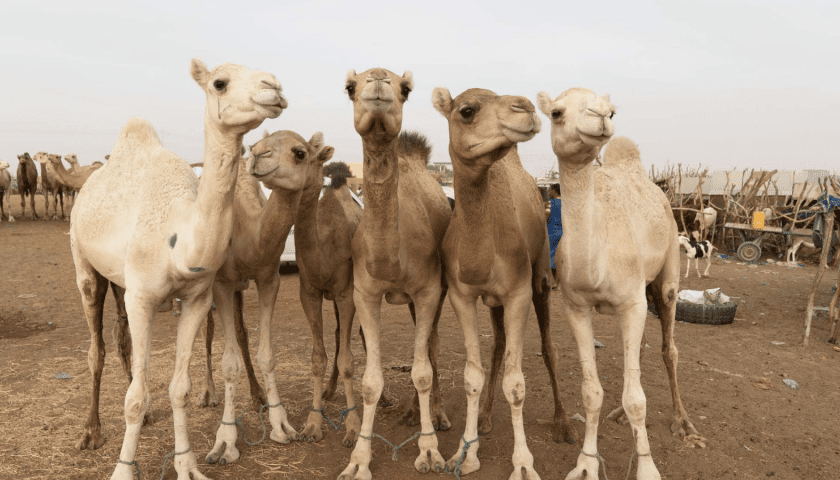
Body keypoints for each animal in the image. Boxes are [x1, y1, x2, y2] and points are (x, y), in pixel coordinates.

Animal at [69, 59, 286, 480]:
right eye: (220, 83)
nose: (275, 87)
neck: (178, 239)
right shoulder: (142, 298)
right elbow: (134, 397)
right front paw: (123, 470)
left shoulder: (197, 297)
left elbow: (178, 389)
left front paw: (187, 465)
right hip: (84, 264)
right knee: (95, 348)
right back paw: (90, 432)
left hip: (120, 282)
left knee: (121, 339)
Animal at [204, 130, 327, 466]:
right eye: (253, 147)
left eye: (300, 153)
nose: (259, 156)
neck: (248, 233)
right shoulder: (221, 284)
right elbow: (228, 363)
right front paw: (225, 441)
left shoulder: (268, 278)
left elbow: (266, 354)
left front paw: (281, 425)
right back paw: (207, 395)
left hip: (239, 289)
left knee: (241, 333)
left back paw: (256, 394)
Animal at [337, 68, 452, 480]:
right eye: (349, 87)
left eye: (405, 88)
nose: (378, 84)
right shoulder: (365, 293)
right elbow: (371, 380)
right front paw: (358, 460)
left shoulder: (428, 290)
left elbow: (422, 371)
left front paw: (430, 451)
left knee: (433, 346)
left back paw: (436, 415)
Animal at [431, 86, 576, 479]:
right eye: (466, 111)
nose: (524, 108)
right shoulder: (462, 296)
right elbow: (472, 375)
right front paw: (465, 454)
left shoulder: (518, 293)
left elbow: (517, 382)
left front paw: (524, 464)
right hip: (494, 301)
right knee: (496, 345)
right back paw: (483, 417)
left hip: (541, 275)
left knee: (549, 348)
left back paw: (563, 424)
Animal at [536, 88, 704, 480]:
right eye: (556, 112)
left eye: (612, 111)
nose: (600, 116)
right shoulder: (576, 306)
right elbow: (591, 391)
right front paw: (585, 463)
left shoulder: (631, 302)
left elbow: (637, 398)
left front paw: (647, 468)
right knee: (639, 352)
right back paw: (618, 415)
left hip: (667, 270)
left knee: (669, 349)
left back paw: (682, 422)